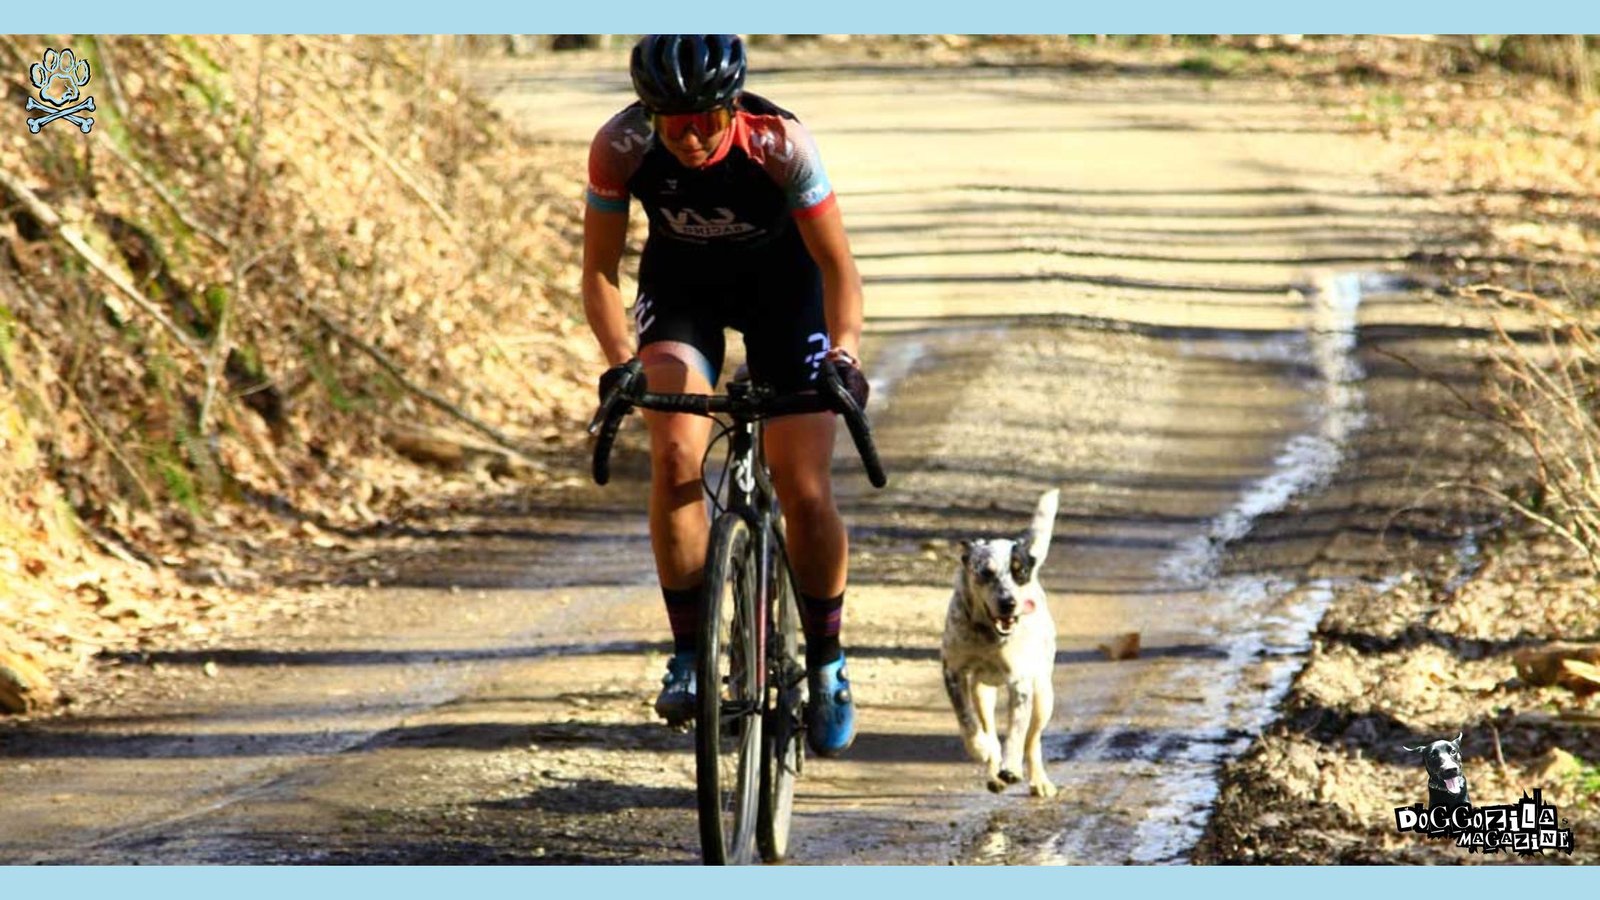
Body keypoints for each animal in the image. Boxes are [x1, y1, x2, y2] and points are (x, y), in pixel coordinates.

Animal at [934, 486, 1062, 794]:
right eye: (985, 572)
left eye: (1020, 572)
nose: (1008, 603)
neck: (989, 636)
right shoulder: (953, 671)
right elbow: (967, 719)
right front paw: (980, 748)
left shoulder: (1021, 683)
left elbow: (1016, 733)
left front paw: (1011, 768)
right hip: (982, 690)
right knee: (989, 727)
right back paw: (992, 767)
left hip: (1044, 696)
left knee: (1033, 740)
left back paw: (1039, 781)